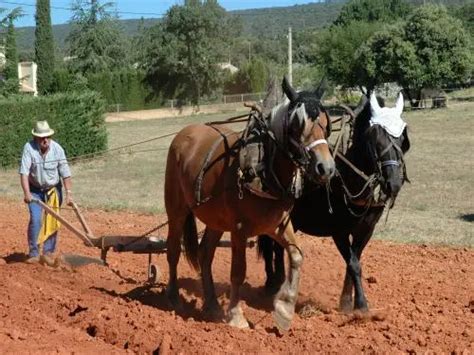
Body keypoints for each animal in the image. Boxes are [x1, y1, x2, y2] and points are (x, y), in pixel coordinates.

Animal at [165, 77, 336, 330]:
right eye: (296, 124)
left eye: (326, 123)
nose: (326, 168)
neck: (264, 167)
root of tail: (184, 133)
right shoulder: (239, 229)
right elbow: (238, 271)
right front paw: (236, 316)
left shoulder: (277, 224)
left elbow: (296, 256)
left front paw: (284, 309)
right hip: (176, 211)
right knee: (174, 250)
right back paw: (174, 297)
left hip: (216, 220)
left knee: (205, 254)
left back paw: (212, 305)